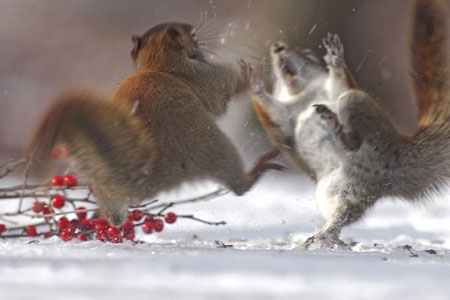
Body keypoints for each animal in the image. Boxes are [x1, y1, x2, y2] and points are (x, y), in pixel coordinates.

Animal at [27, 22, 282, 225]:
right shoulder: (207, 77)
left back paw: (99, 216)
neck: (158, 62)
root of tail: (141, 174)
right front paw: (251, 72)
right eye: (193, 33)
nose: (200, 36)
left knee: (114, 217)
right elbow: (225, 91)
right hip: (211, 146)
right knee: (239, 186)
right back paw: (260, 167)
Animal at [248, 0, 448, 248]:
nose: (277, 47)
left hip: (354, 103)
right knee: (342, 214)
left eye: (308, 54)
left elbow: (339, 82)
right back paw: (323, 236)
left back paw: (342, 135)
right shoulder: (283, 118)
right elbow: (274, 113)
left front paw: (335, 60)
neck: (302, 95)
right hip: (333, 191)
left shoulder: (338, 91)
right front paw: (254, 84)